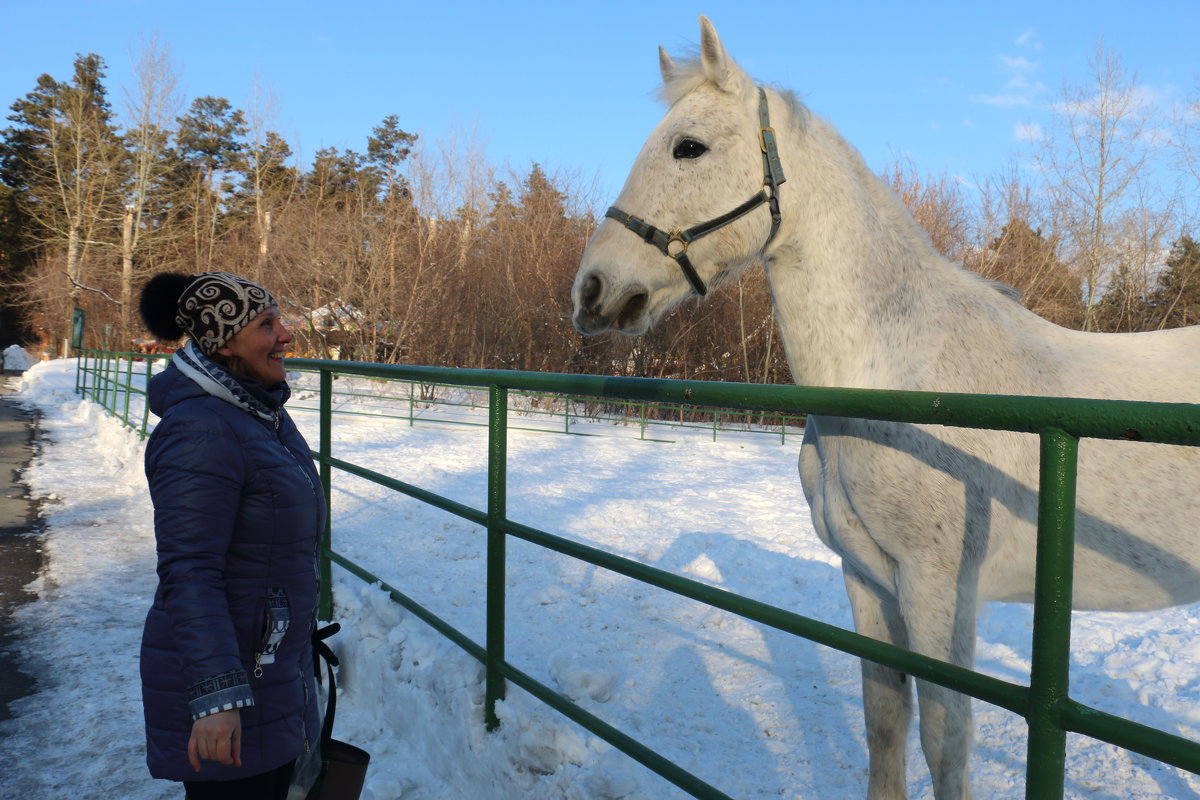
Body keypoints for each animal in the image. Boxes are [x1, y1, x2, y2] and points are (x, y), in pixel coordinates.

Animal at [568, 17, 1200, 800]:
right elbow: (885, 720)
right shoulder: (868, 578)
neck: (898, 377)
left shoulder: (938, 592)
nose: (592, 291)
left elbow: (945, 741)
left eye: (689, 147)